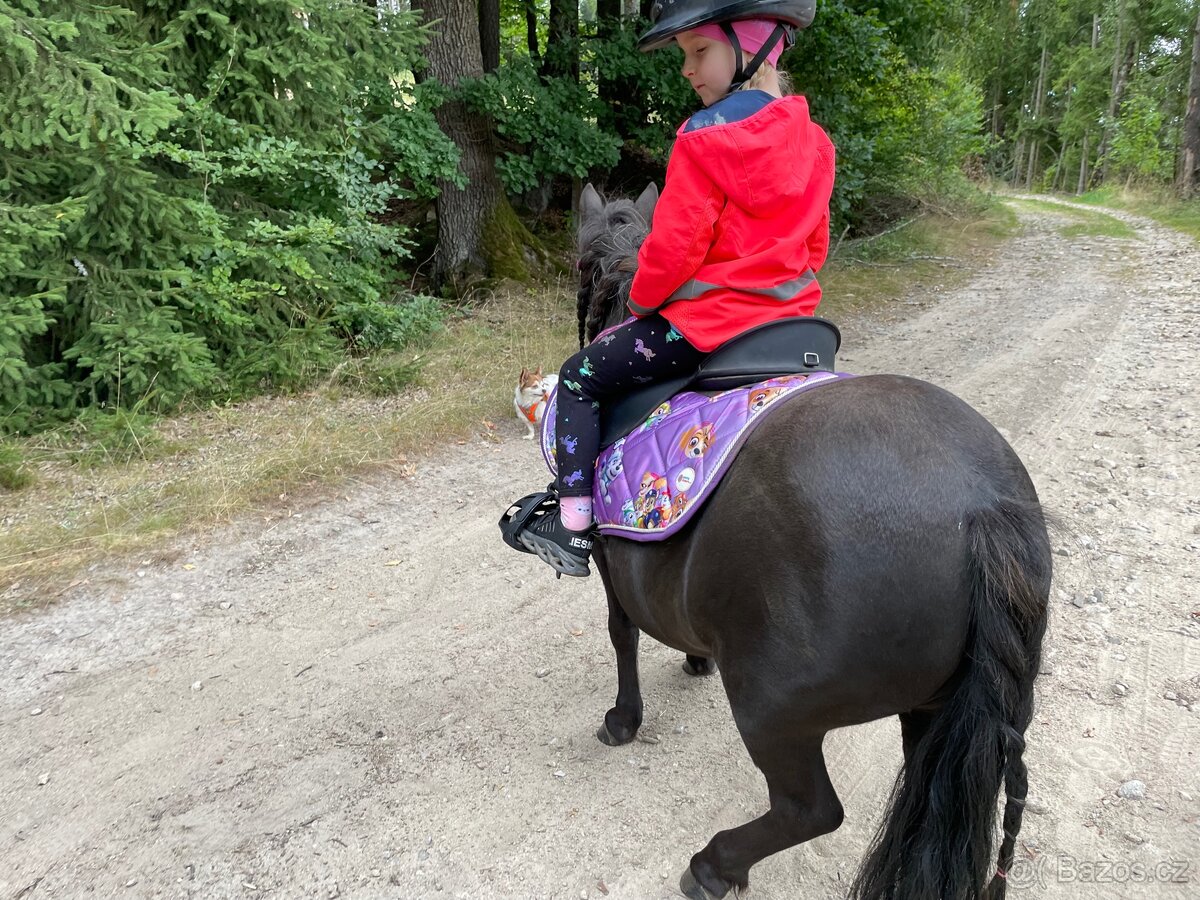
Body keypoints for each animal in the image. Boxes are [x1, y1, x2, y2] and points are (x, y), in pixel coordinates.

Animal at [570, 184, 1052, 900]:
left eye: (581, 264)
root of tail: (982, 508)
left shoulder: (609, 558)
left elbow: (621, 632)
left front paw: (623, 721)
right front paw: (693, 660)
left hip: (772, 711)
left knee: (810, 810)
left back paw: (714, 865)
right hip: (938, 713)